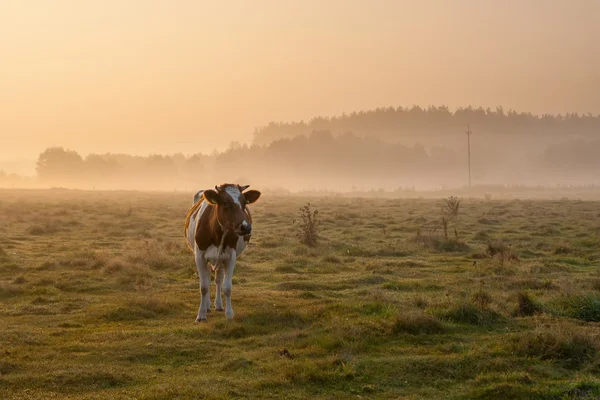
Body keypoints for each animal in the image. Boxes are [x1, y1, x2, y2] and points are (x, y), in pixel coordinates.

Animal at [182, 184, 258, 322]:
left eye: (244, 203)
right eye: (226, 203)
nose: (246, 227)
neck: (218, 233)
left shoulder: (230, 257)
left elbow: (227, 287)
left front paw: (229, 314)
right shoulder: (199, 257)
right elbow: (204, 287)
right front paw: (201, 315)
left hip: (221, 259)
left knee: (218, 280)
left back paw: (218, 304)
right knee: (208, 278)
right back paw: (207, 306)